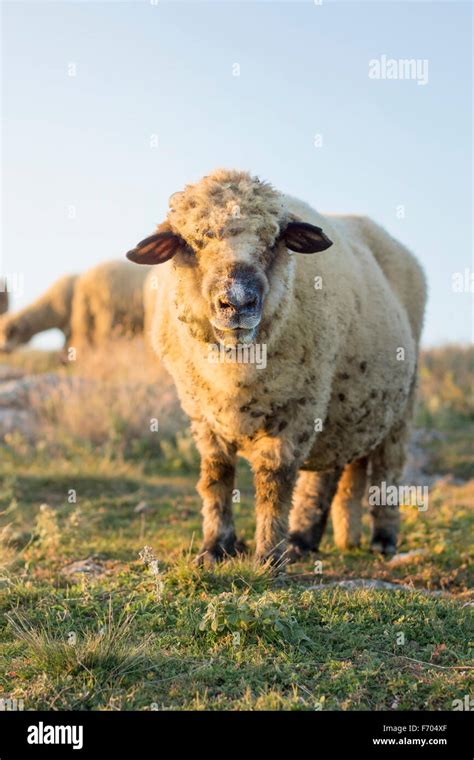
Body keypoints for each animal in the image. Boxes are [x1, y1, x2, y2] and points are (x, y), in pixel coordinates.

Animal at [127, 169, 426, 568]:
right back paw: (304, 539)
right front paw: (215, 548)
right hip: (343, 402)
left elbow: (274, 481)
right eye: (190, 242)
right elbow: (217, 475)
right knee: (330, 473)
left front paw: (269, 556)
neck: (235, 369)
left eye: (273, 241)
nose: (237, 302)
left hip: (399, 402)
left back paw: (382, 540)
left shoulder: (297, 407)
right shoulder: (201, 412)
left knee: (387, 468)